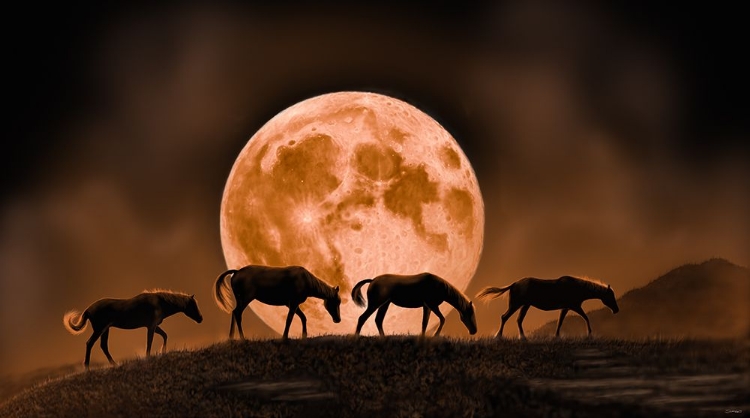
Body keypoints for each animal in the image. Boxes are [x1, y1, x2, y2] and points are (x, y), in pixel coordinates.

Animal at [62, 290, 203, 370]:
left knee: (103, 346)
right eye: (192, 305)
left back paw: (114, 364)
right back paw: (87, 366)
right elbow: (150, 342)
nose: (201, 318)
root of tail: (88, 309)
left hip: (105, 330)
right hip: (99, 329)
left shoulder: (154, 326)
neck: (160, 302)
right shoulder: (151, 326)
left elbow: (164, 335)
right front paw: (148, 356)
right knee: (90, 343)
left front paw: (162, 351)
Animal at [212, 264, 340, 340]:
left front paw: (304, 336)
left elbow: (303, 318)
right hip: (246, 299)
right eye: (337, 301)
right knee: (238, 313)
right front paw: (284, 338)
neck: (305, 280)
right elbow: (289, 319)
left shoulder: (292, 304)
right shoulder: (293, 303)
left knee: (234, 312)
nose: (338, 320)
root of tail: (237, 272)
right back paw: (243, 339)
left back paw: (231, 338)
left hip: (240, 300)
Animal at [478, 276, 620, 338]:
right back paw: (498, 336)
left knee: (518, 320)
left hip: (525, 305)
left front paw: (556, 336)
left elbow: (560, 322)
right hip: (516, 304)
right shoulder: (574, 306)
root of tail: (513, 284)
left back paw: (523, 338)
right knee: (504, 317)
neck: (577, 288)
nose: (616, 310)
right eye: (610, 296)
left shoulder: (565, 308)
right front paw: (589, 334)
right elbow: (586, 318)